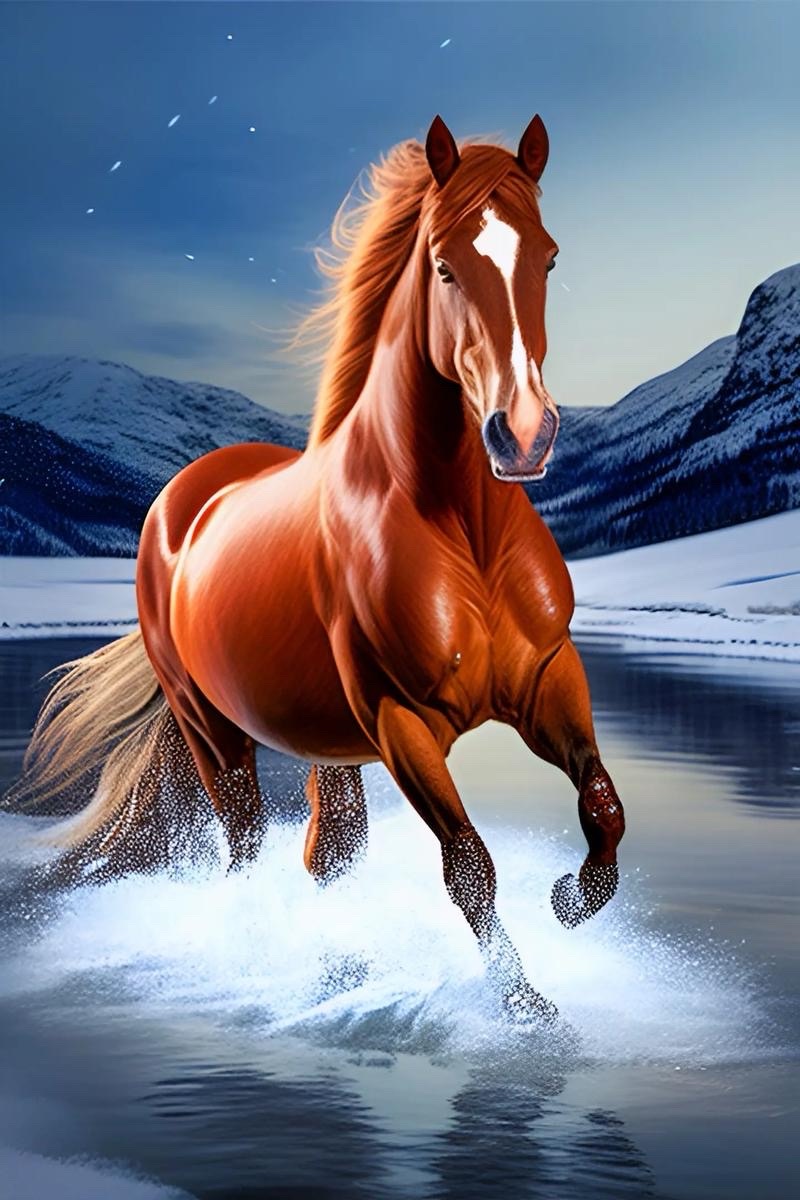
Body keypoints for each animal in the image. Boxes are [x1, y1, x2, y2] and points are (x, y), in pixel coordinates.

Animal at [15, 114, 625, 1023]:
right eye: (444, 264)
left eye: (547, 257)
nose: (523, 436)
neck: (462, 532)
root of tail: (181, 499)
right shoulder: (404, 722)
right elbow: (470, 867)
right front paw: (524, 1009)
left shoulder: (550, 679)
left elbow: (603, 809)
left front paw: (568, 900)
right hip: (215, 730)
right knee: (246, 852)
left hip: (326, 744)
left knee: (327, 854)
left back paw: (339, 966)